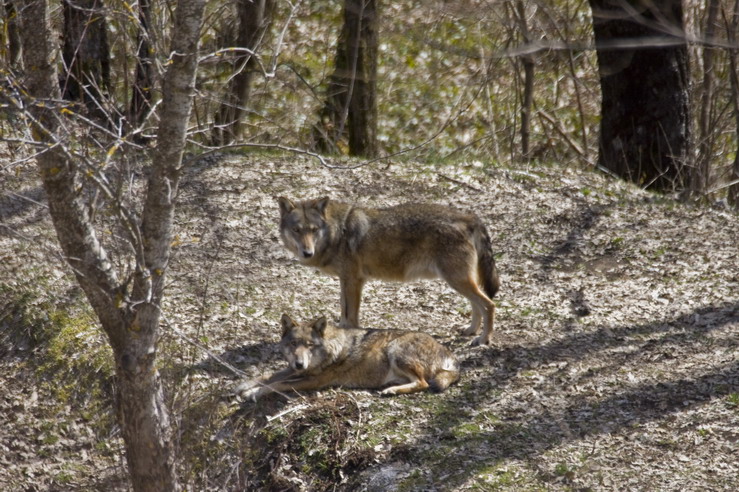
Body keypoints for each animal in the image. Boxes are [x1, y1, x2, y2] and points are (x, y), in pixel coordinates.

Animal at [234, 316, 460, 400]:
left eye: (309, 345)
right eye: (293, 344)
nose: (300, 363)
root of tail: (449, 352)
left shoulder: (313, 380)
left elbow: (278, 384)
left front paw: (253, 392)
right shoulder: (295, 370)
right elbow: (269, 375)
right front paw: (244, 385)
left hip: (395, 349)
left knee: (423, 383)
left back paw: (392, 391)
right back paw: (391, 388)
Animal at [278, 196, 502, 346]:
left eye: (314, 230)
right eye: (297, 230)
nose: (307, 252)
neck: (337, 233)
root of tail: (469, 218)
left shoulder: (353, 281)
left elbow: (350, 316)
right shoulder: (346, 280)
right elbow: (343, 311)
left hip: (457, 280)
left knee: (489, 305)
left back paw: (484, 339)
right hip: (460, 281)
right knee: (477, 305)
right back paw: (470, 331)